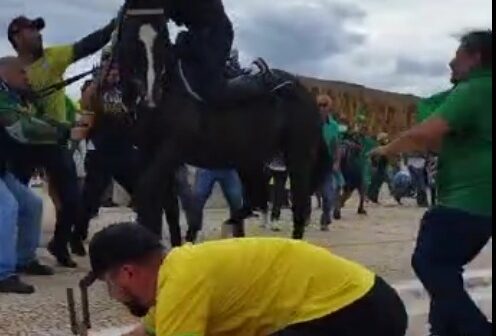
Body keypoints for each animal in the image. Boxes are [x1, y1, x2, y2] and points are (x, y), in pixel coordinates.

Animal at [114, 0, 328, 242]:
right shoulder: (150, 153)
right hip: (251, 159)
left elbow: (147, 193)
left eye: (160, 39)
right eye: (130, 38)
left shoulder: (170, 151)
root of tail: (305, 93)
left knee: (298, 207)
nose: (149, 96)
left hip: (298, 157)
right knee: (255, 199)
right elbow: (162, 204)